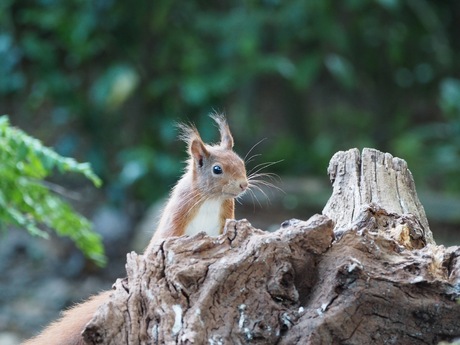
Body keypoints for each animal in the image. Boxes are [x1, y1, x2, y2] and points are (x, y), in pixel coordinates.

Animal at [22, 114, 248, 342]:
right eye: (217, 169)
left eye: (241, 162)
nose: (244, 184)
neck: (212, 198)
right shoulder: (178, 213)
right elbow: (167, 237)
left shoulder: (226, 214)